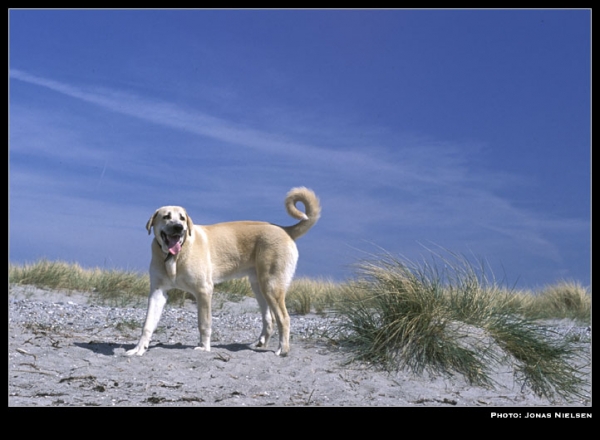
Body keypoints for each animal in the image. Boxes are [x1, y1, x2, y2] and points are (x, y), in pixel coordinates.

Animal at [125, 187, 322, 356]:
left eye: (182, 218)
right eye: (166, 217)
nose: (179, 228)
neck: (174, 257)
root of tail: (284, 229)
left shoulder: (204, 291)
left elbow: (204, 323)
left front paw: (204, 348)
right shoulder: (157, 293)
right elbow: (147, 324)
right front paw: (139, 349)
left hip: (271, 287)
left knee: (284, 318)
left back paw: (283, 350)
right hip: (259, 287)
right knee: (270, 318)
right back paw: (260, 343)